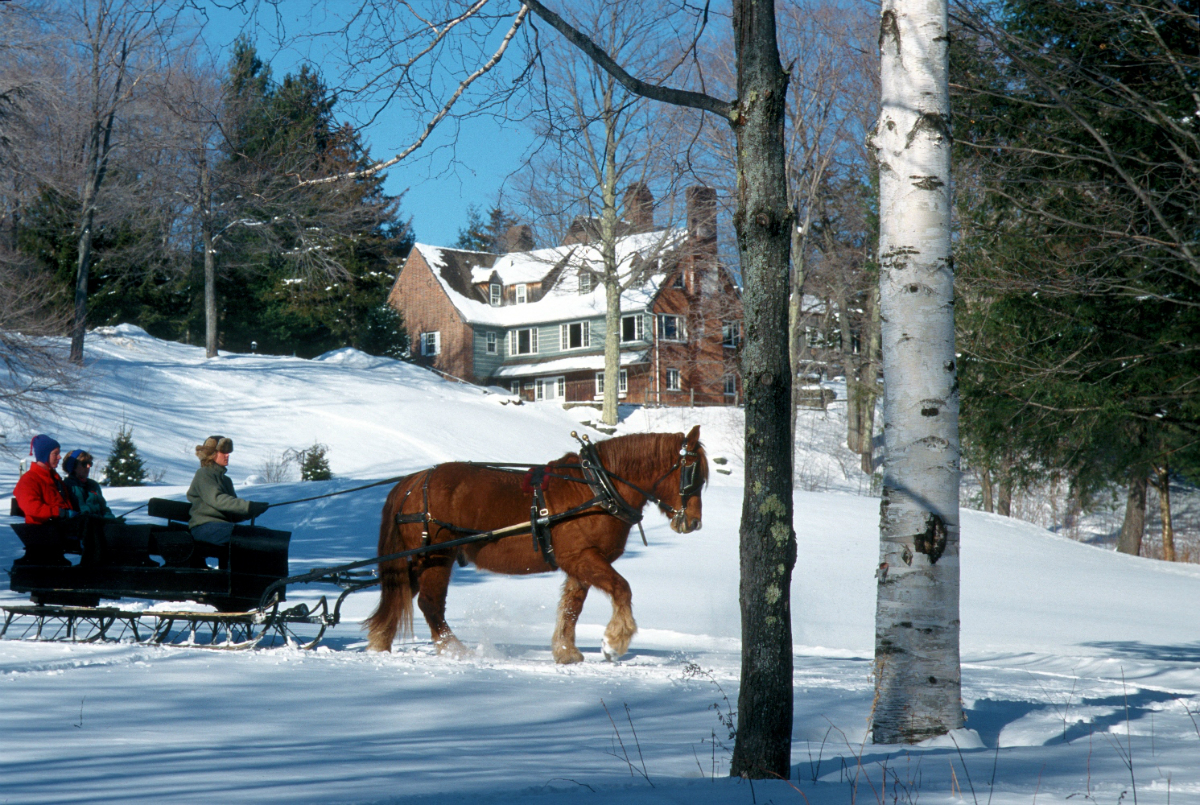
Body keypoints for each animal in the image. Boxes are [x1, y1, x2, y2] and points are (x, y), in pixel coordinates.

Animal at [362, 424, 700, 662]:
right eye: (692, 473)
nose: (693, 523)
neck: (597, 489)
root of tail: (415, 480)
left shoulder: (581, 561)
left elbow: (571, 608)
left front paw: (566, 652)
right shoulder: (581, 557)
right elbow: (622, 588)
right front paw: (614, 642)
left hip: (421, 558)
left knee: (400, 591)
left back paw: (380, 642)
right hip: (438, 556)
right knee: (429, 604)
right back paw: (455, 651)